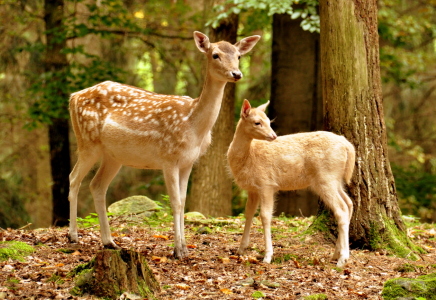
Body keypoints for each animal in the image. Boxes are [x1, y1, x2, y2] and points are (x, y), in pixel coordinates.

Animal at [67, 32, 258, 258]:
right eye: (215, 55)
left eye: (238, 55)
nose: (236, 74)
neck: (193, 125)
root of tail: (73, 96)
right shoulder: (168, 157)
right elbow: (175, 202)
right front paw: (177, 250)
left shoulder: (188, 162)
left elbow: (183, 201)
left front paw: (184, 247)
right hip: (87, 142)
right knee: (73, 178)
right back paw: (73, 236)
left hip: (113, 156)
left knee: (97, 185)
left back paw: (109, 242)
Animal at [227, 99, 356, 266]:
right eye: (257, 122)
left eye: (268, 120)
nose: (273, 136)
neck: (249, 156)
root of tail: (348, 146)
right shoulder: (252, 188)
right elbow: (248, 213)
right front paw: (241, 249)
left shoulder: (266, 183)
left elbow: (265, 216)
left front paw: (267, 256)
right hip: (336, 179)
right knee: (349, 203)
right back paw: (336, 254)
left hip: (326, 177)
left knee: (341, 209)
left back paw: (342, 258)